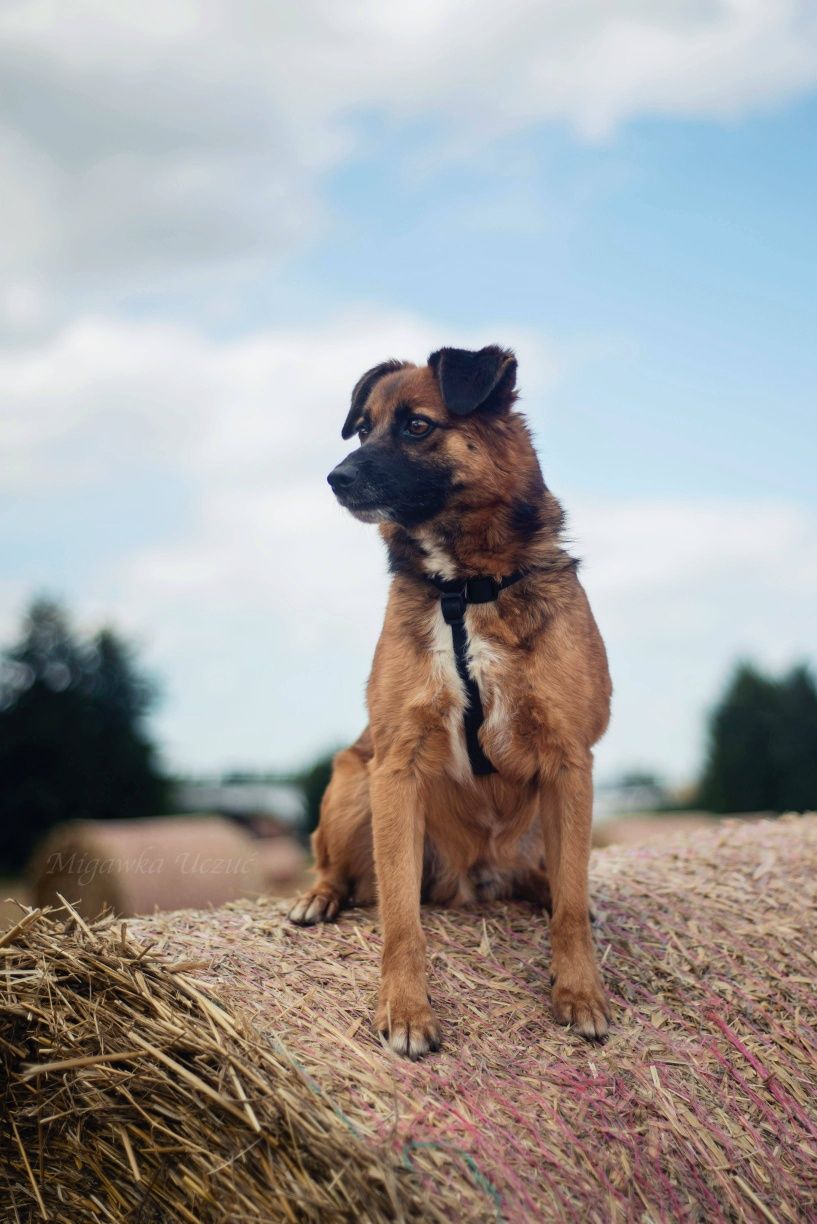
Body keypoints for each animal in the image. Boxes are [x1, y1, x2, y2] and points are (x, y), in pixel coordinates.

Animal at [290, 347, 609, 1062]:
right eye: (363, 428)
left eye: (417, 425)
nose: (334, 477)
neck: (464, 585)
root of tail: (476, 878)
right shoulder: (396, 765)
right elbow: (399, 916)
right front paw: (406, 1011)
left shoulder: (570, 763)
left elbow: (571, 907)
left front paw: (579, 993)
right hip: (353, 783)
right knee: (336, 867)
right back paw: (318, 898)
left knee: (556, 884)